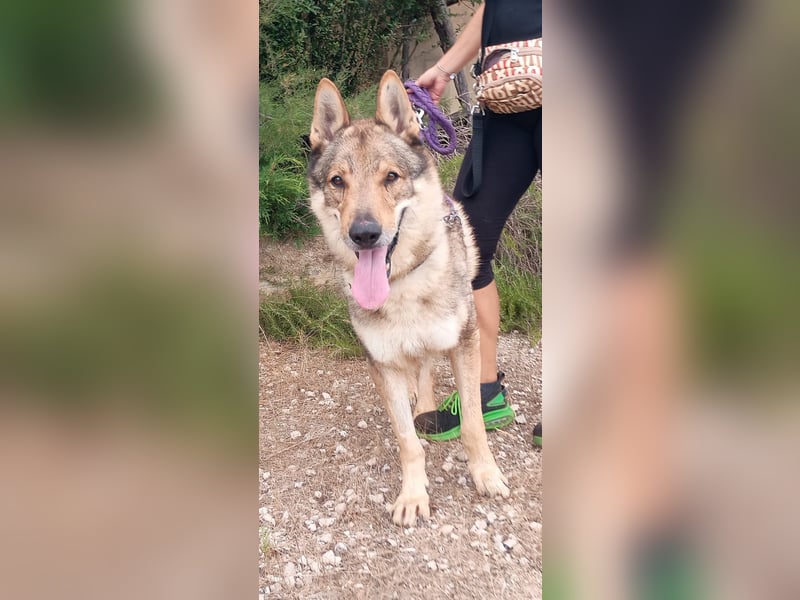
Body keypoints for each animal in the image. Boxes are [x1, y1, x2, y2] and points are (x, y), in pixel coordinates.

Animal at [307, 70, 509, 526]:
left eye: (391, 177)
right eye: (338, 182)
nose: (364, 234)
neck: (401, 284)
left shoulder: (464, 343)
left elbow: (473, 425)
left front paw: (486, 475)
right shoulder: (382, 364)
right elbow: (407, 441)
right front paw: (414, 496)